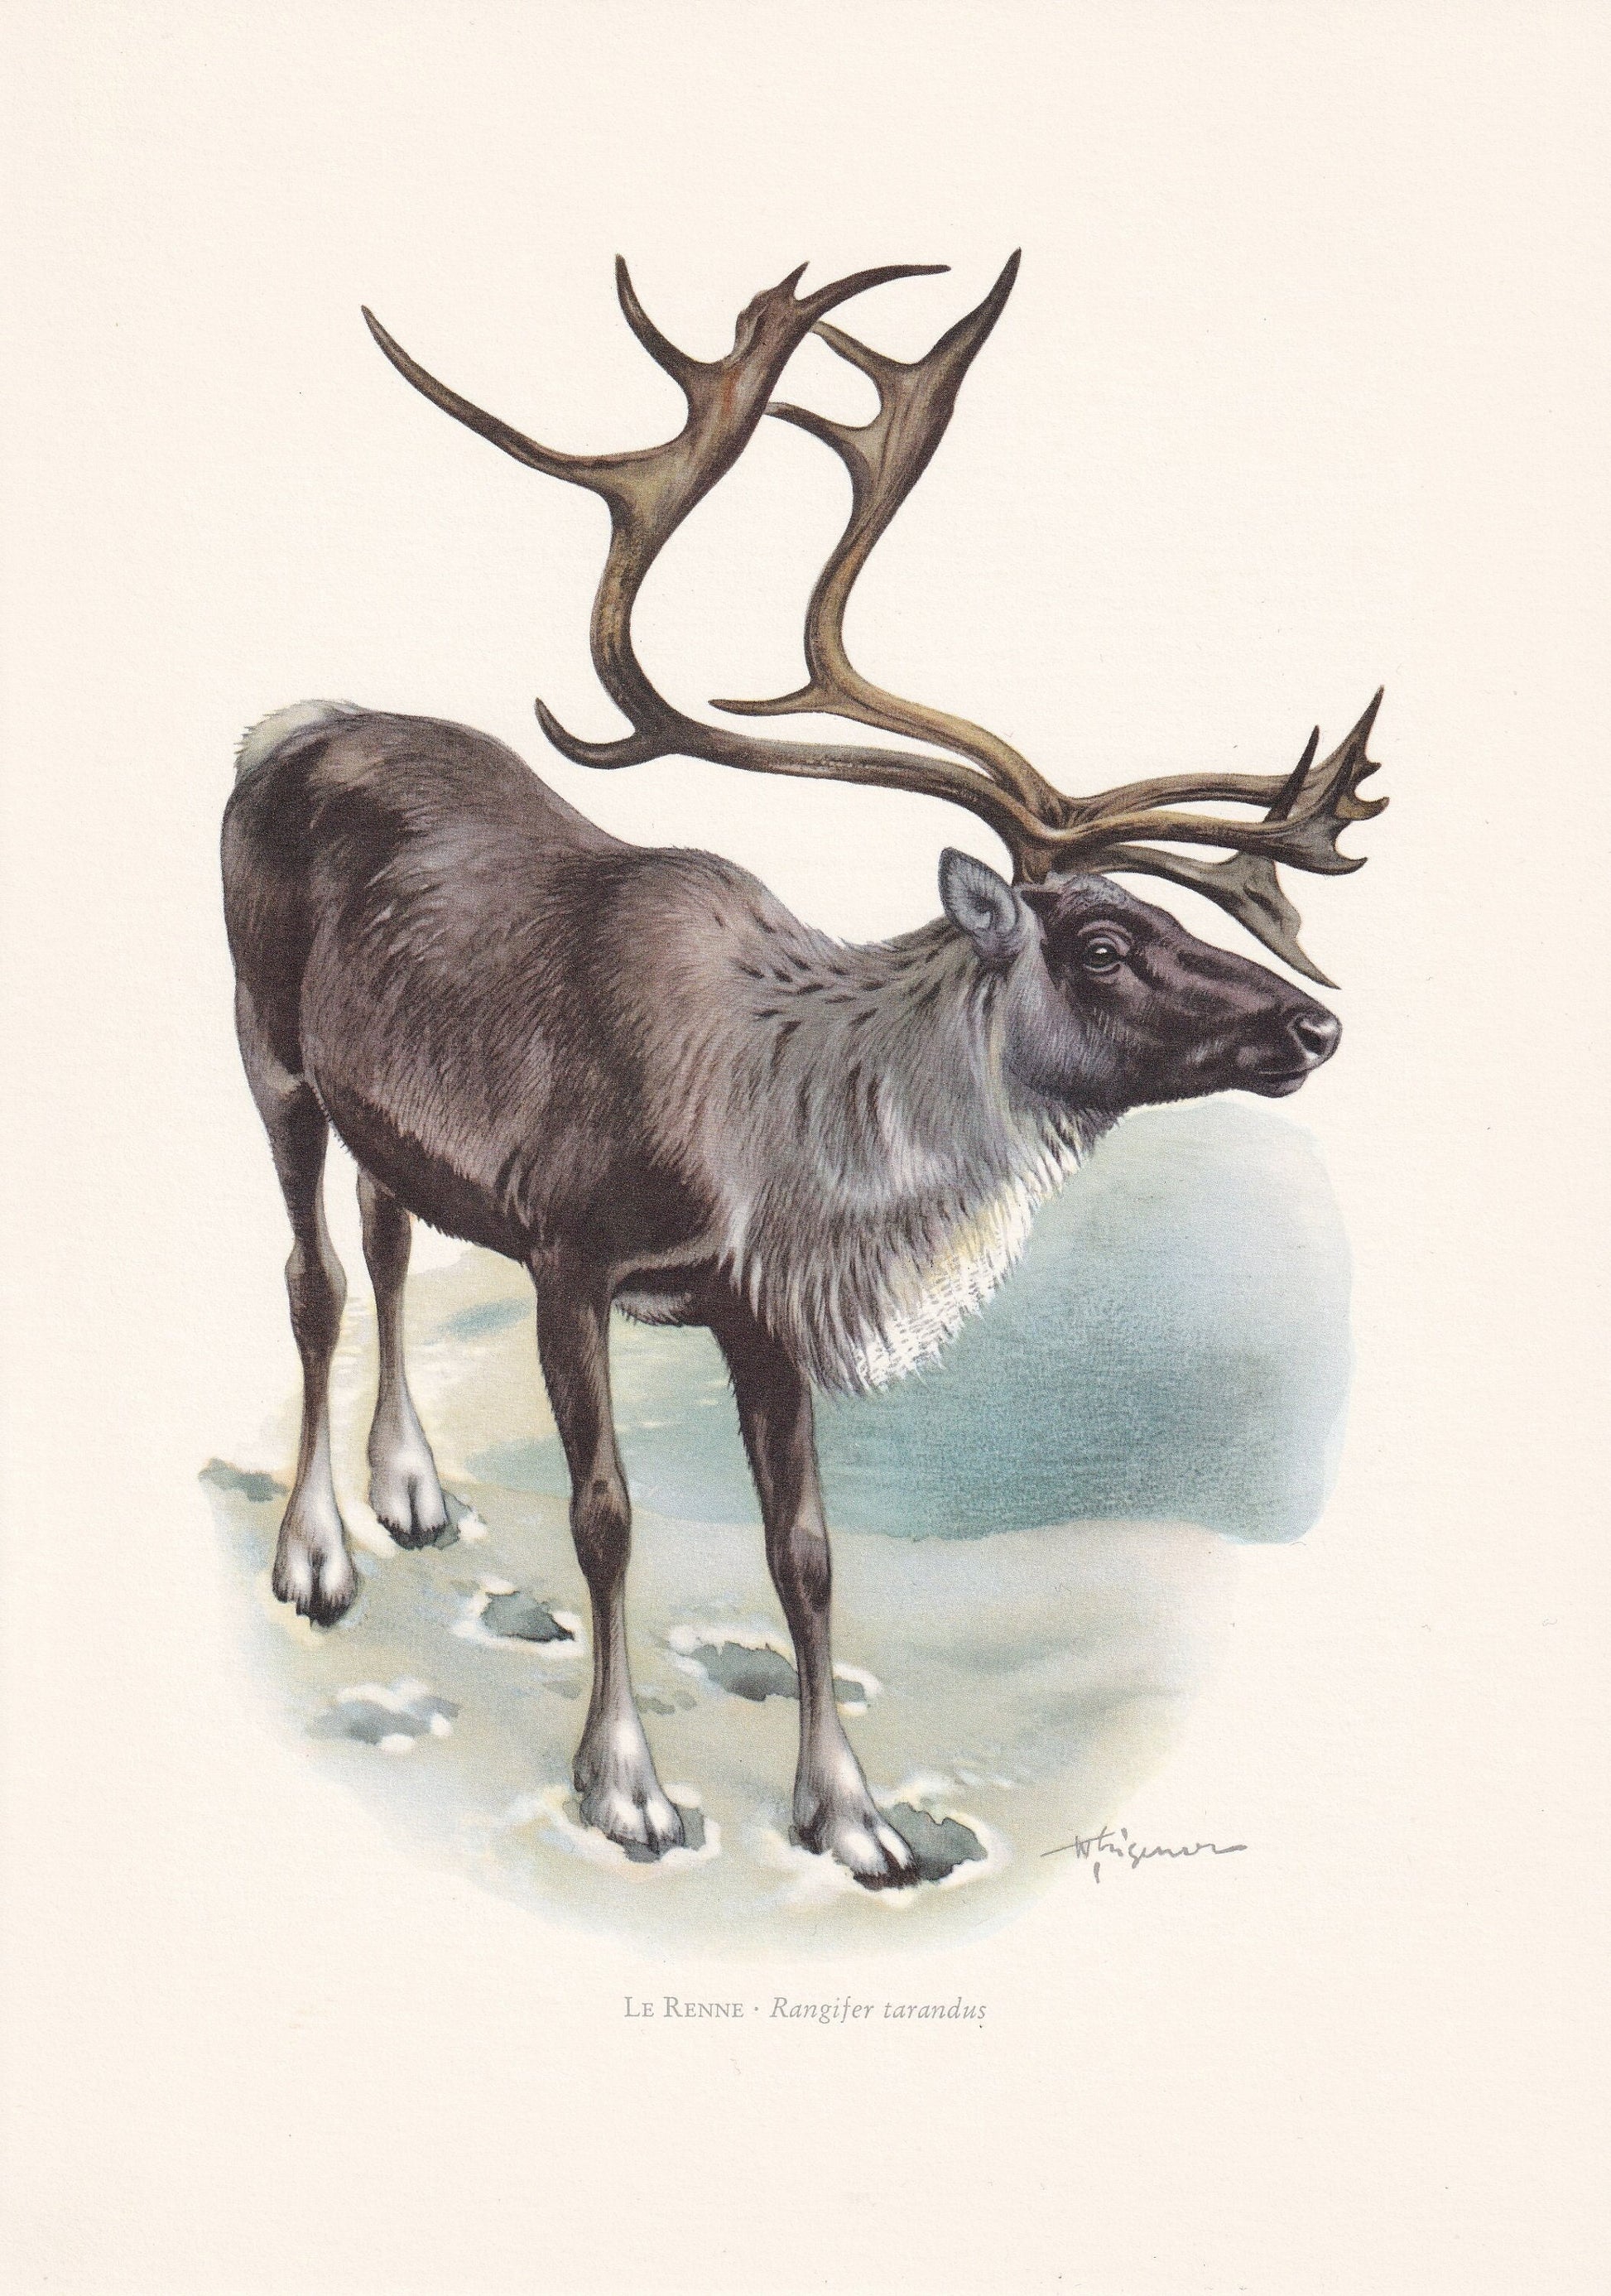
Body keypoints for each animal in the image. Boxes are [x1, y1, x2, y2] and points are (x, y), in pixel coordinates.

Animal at [222, 252, 1385, 1887]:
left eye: (1171, 919)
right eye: (1100, 941)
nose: (1313, 1027)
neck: (772, 1137)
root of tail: (288, 726)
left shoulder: (753, 1310)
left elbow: (810, 1550)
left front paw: (853, 1814)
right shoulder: (571, 1249)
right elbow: (603, 1514)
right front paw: (627, 1790)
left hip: (385, 1112)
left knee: (386, 1244)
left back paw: (414, 1493)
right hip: (266, 1048)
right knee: (313, 1279)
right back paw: (317, 1554)